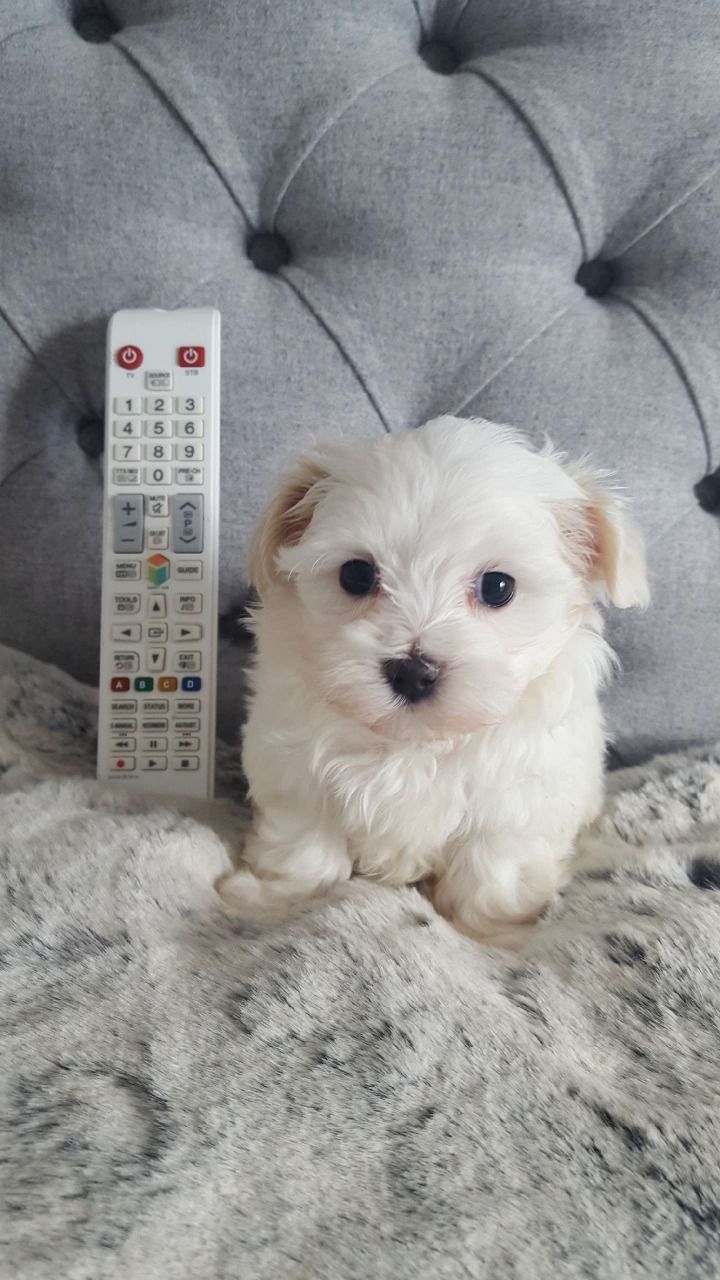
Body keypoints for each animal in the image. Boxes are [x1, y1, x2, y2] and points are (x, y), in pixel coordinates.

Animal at [221, 414, 648, 947]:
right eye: (356, 575)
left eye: (498, 587)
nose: (412, 672)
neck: (415, 744)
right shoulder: (296, 772)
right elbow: (304, 841)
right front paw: (275, 896)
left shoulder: (518, 797)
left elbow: (494, 866)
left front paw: (494, 930)